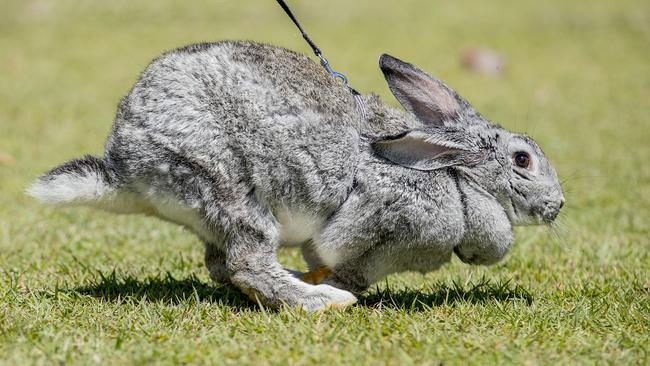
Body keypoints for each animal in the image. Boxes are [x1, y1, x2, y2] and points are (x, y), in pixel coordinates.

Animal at [26, 40, 560, 310]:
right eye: (523, 160)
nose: (557, 206)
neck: (454, 173)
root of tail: (123, 163)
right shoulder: (375, 234)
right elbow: (343, 260)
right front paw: (331, 284)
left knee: (223, 265)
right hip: (228, 189)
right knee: (246, 264)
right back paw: (323, 300)